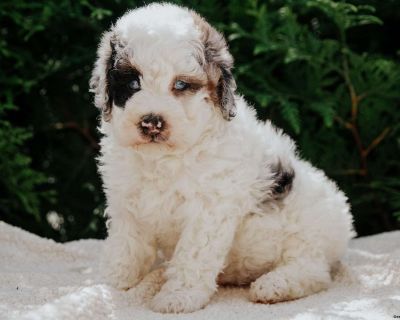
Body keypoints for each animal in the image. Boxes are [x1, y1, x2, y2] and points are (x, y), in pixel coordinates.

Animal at [89, 1, 354, 312]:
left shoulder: (208, 209)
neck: (164, 159)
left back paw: (274, 286)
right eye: (132, 84)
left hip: (307, 235)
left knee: (315, 272)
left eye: (180, 85)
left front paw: (178, 297)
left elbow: (192, 255)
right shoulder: (127, 202)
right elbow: (126, 246)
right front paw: (115, 282)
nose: (152, 122)